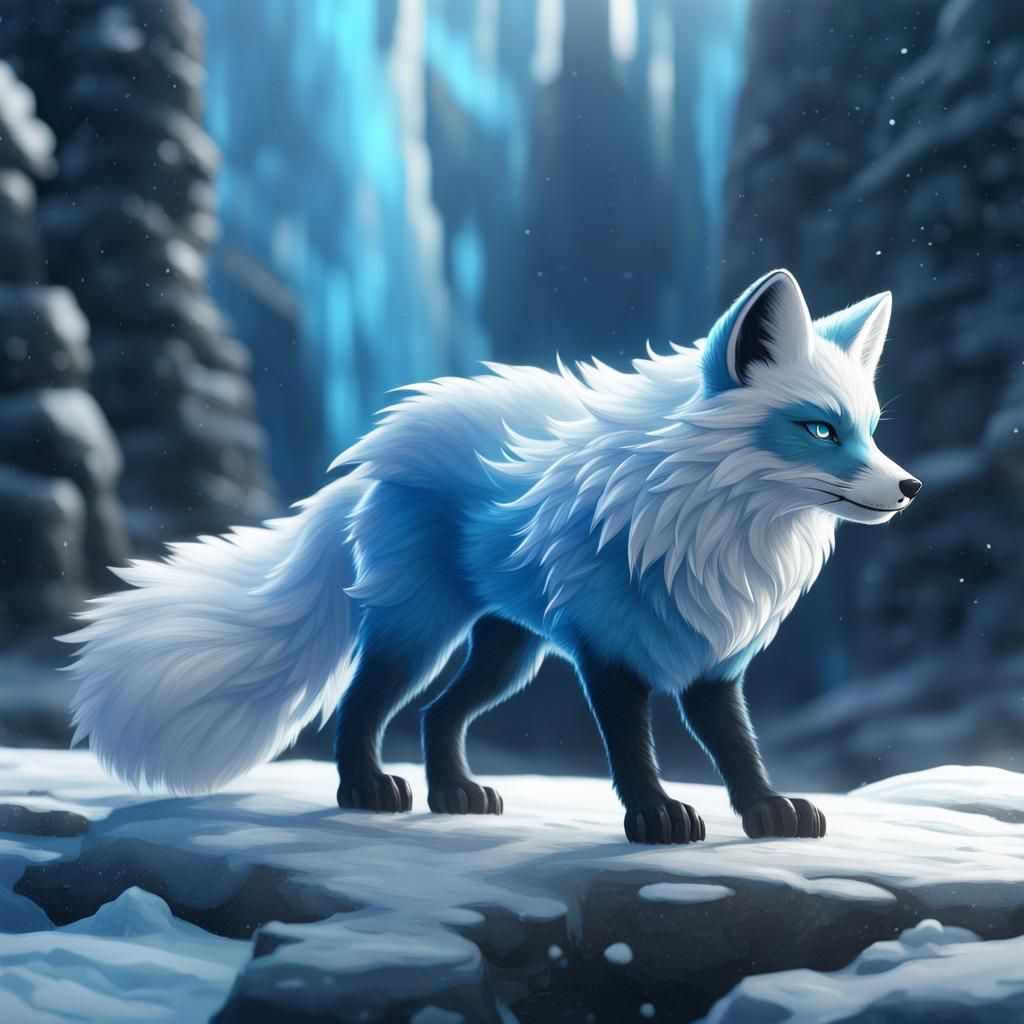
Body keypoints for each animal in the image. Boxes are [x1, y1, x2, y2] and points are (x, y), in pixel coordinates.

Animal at [65, 269, 921, 845]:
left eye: (872, 429)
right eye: (820, 429)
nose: (910, 488)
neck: (710, 534)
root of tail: (375, 459)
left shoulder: (714, 665)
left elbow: (738, 748)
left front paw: (768, 811)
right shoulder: (609, 657)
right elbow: (632, 750)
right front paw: (655, 815)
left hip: (511, 651)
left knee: (438, 715)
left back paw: (455, 795)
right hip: (419, 632)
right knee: (362, 707)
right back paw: (366, 790)